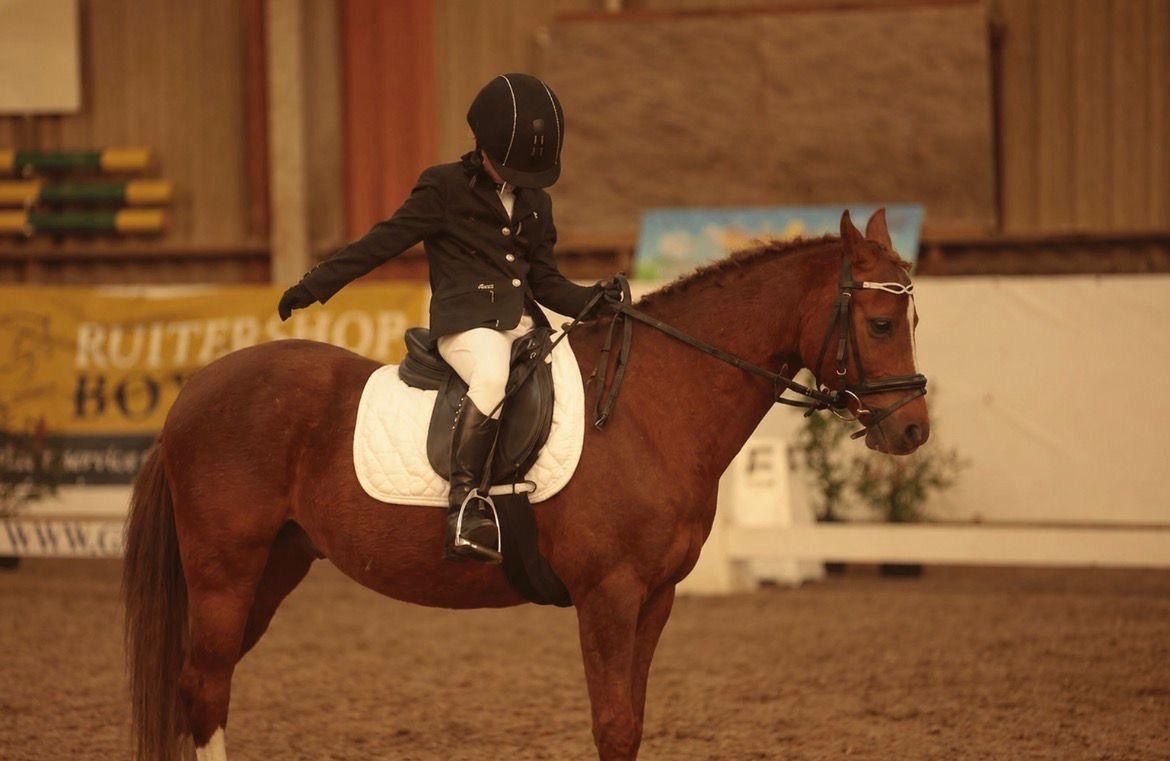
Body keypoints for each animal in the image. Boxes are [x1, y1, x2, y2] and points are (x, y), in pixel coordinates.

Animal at [122, 209, 930, 761]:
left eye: (913, 318)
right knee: (205, 687)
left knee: (206, 687)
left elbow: (633, 722)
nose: (913, 431)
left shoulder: (656, 597)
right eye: (881, 323)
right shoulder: (609, 594)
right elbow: (613, 725)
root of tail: (195, 391)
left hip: (273, 567)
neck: (649, 403)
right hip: (225, 570)